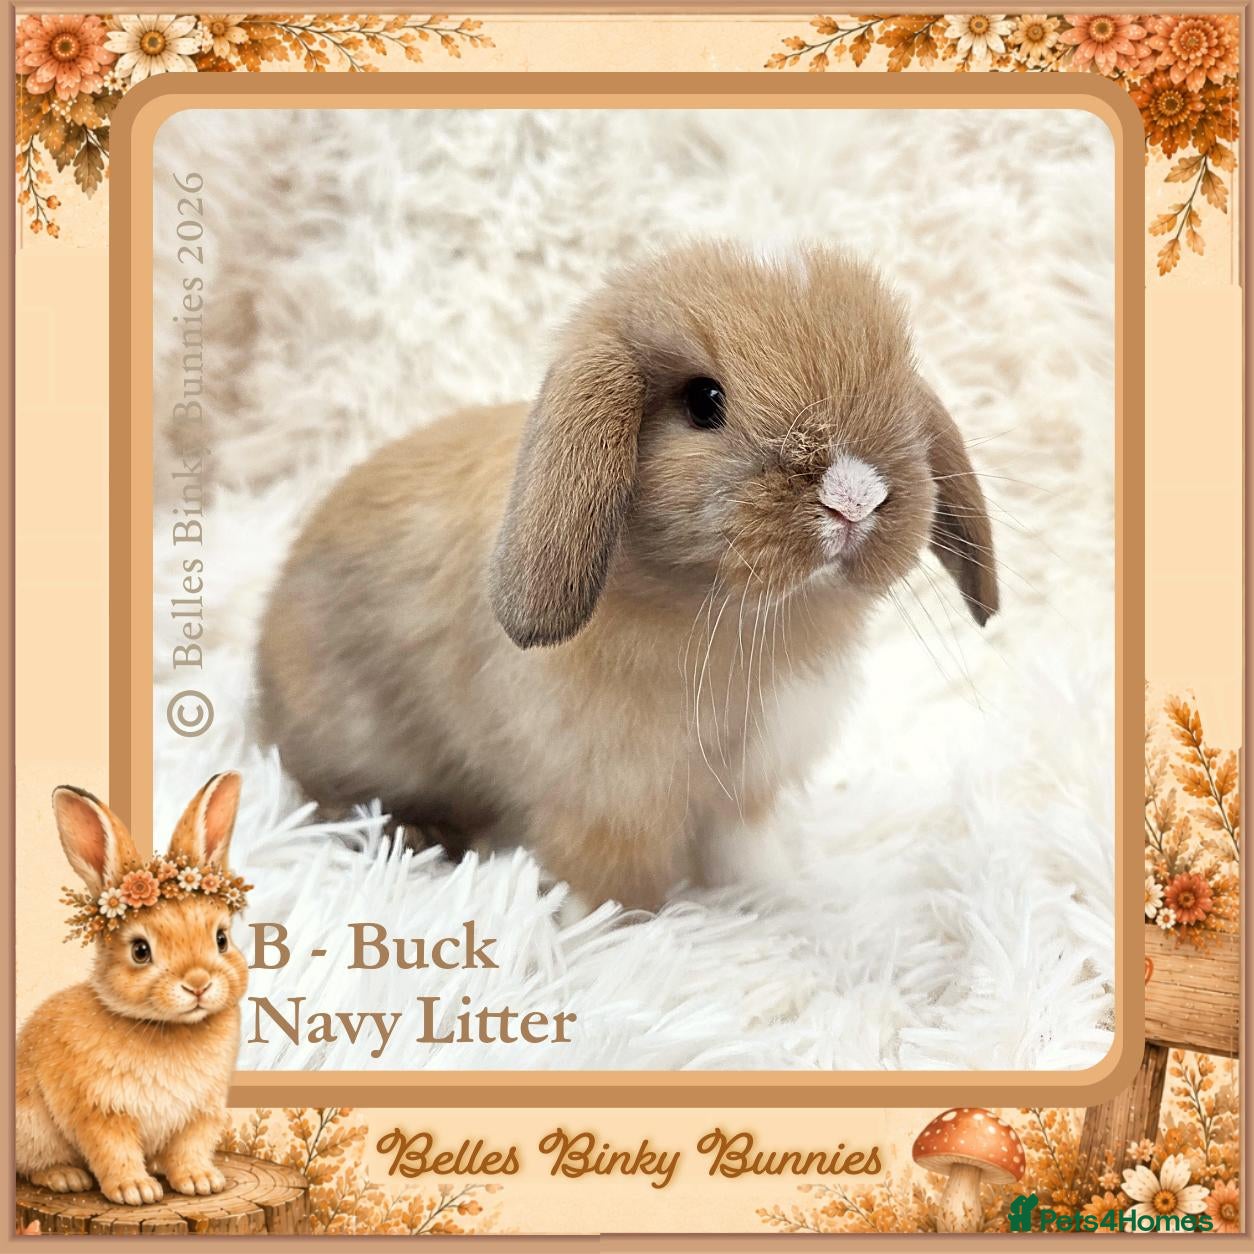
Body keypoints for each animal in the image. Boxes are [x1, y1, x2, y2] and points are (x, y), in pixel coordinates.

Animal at [16, 773, 249, 1205]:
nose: (198, 984)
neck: (168, 1028)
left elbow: (190, 1149)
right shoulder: (101, 1111)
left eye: (221, 939)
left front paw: (201, 1182)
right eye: (140, 951)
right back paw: (65, 1177)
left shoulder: (200, 1113)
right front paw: (135, 1191)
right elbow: (114, 1151)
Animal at [257, 241, 998, 911]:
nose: (855, 496)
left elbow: (745, 854)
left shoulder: (743, 789)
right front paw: (605, 930)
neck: (736, 620)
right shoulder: (605, 797)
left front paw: (782, 903)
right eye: (704, 401)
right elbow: (605, 880)